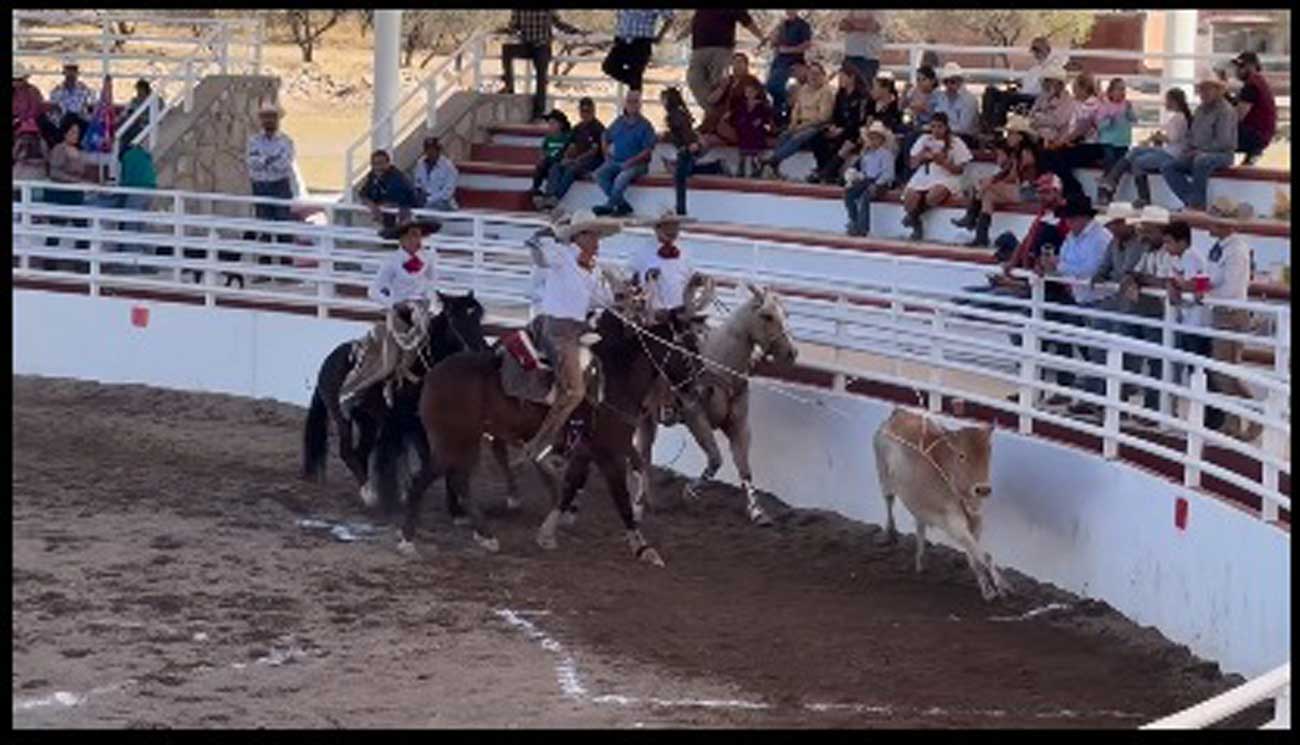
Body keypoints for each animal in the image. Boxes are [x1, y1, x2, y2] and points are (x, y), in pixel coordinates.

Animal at [301, 293, 520, 514]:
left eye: (477, 317)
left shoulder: (422, 426)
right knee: (347, 451)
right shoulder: (408, 424)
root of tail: (328, 360)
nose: (481, 350)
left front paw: (453, 505)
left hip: (368, 422)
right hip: (342, 417)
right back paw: (370, 495)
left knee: (361, 452)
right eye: (452, 316)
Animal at [371, 305, 707, 561]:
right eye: (689, 351)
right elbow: (619, 498)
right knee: (427, 479)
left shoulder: (587, 452)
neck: (615, 382)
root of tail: (433, 375)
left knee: (459, 481)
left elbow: (571, 488)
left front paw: (547, 533)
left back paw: (485, 535)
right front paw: (644, 547)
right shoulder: (609, 453)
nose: (700, 390)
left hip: (465, 441)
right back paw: (408, 540)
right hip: (451, 440)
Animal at [631, 282, 795, 525]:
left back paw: (647, 501)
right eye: (767, 315)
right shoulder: (695, 418)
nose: (793, 352)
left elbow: (744, 468)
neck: (719, 365)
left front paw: (757, 511)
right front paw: (690, 492)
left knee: (644, 454)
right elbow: (716, 459)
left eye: (786, 313)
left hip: (647, 417)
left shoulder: (739, 425)